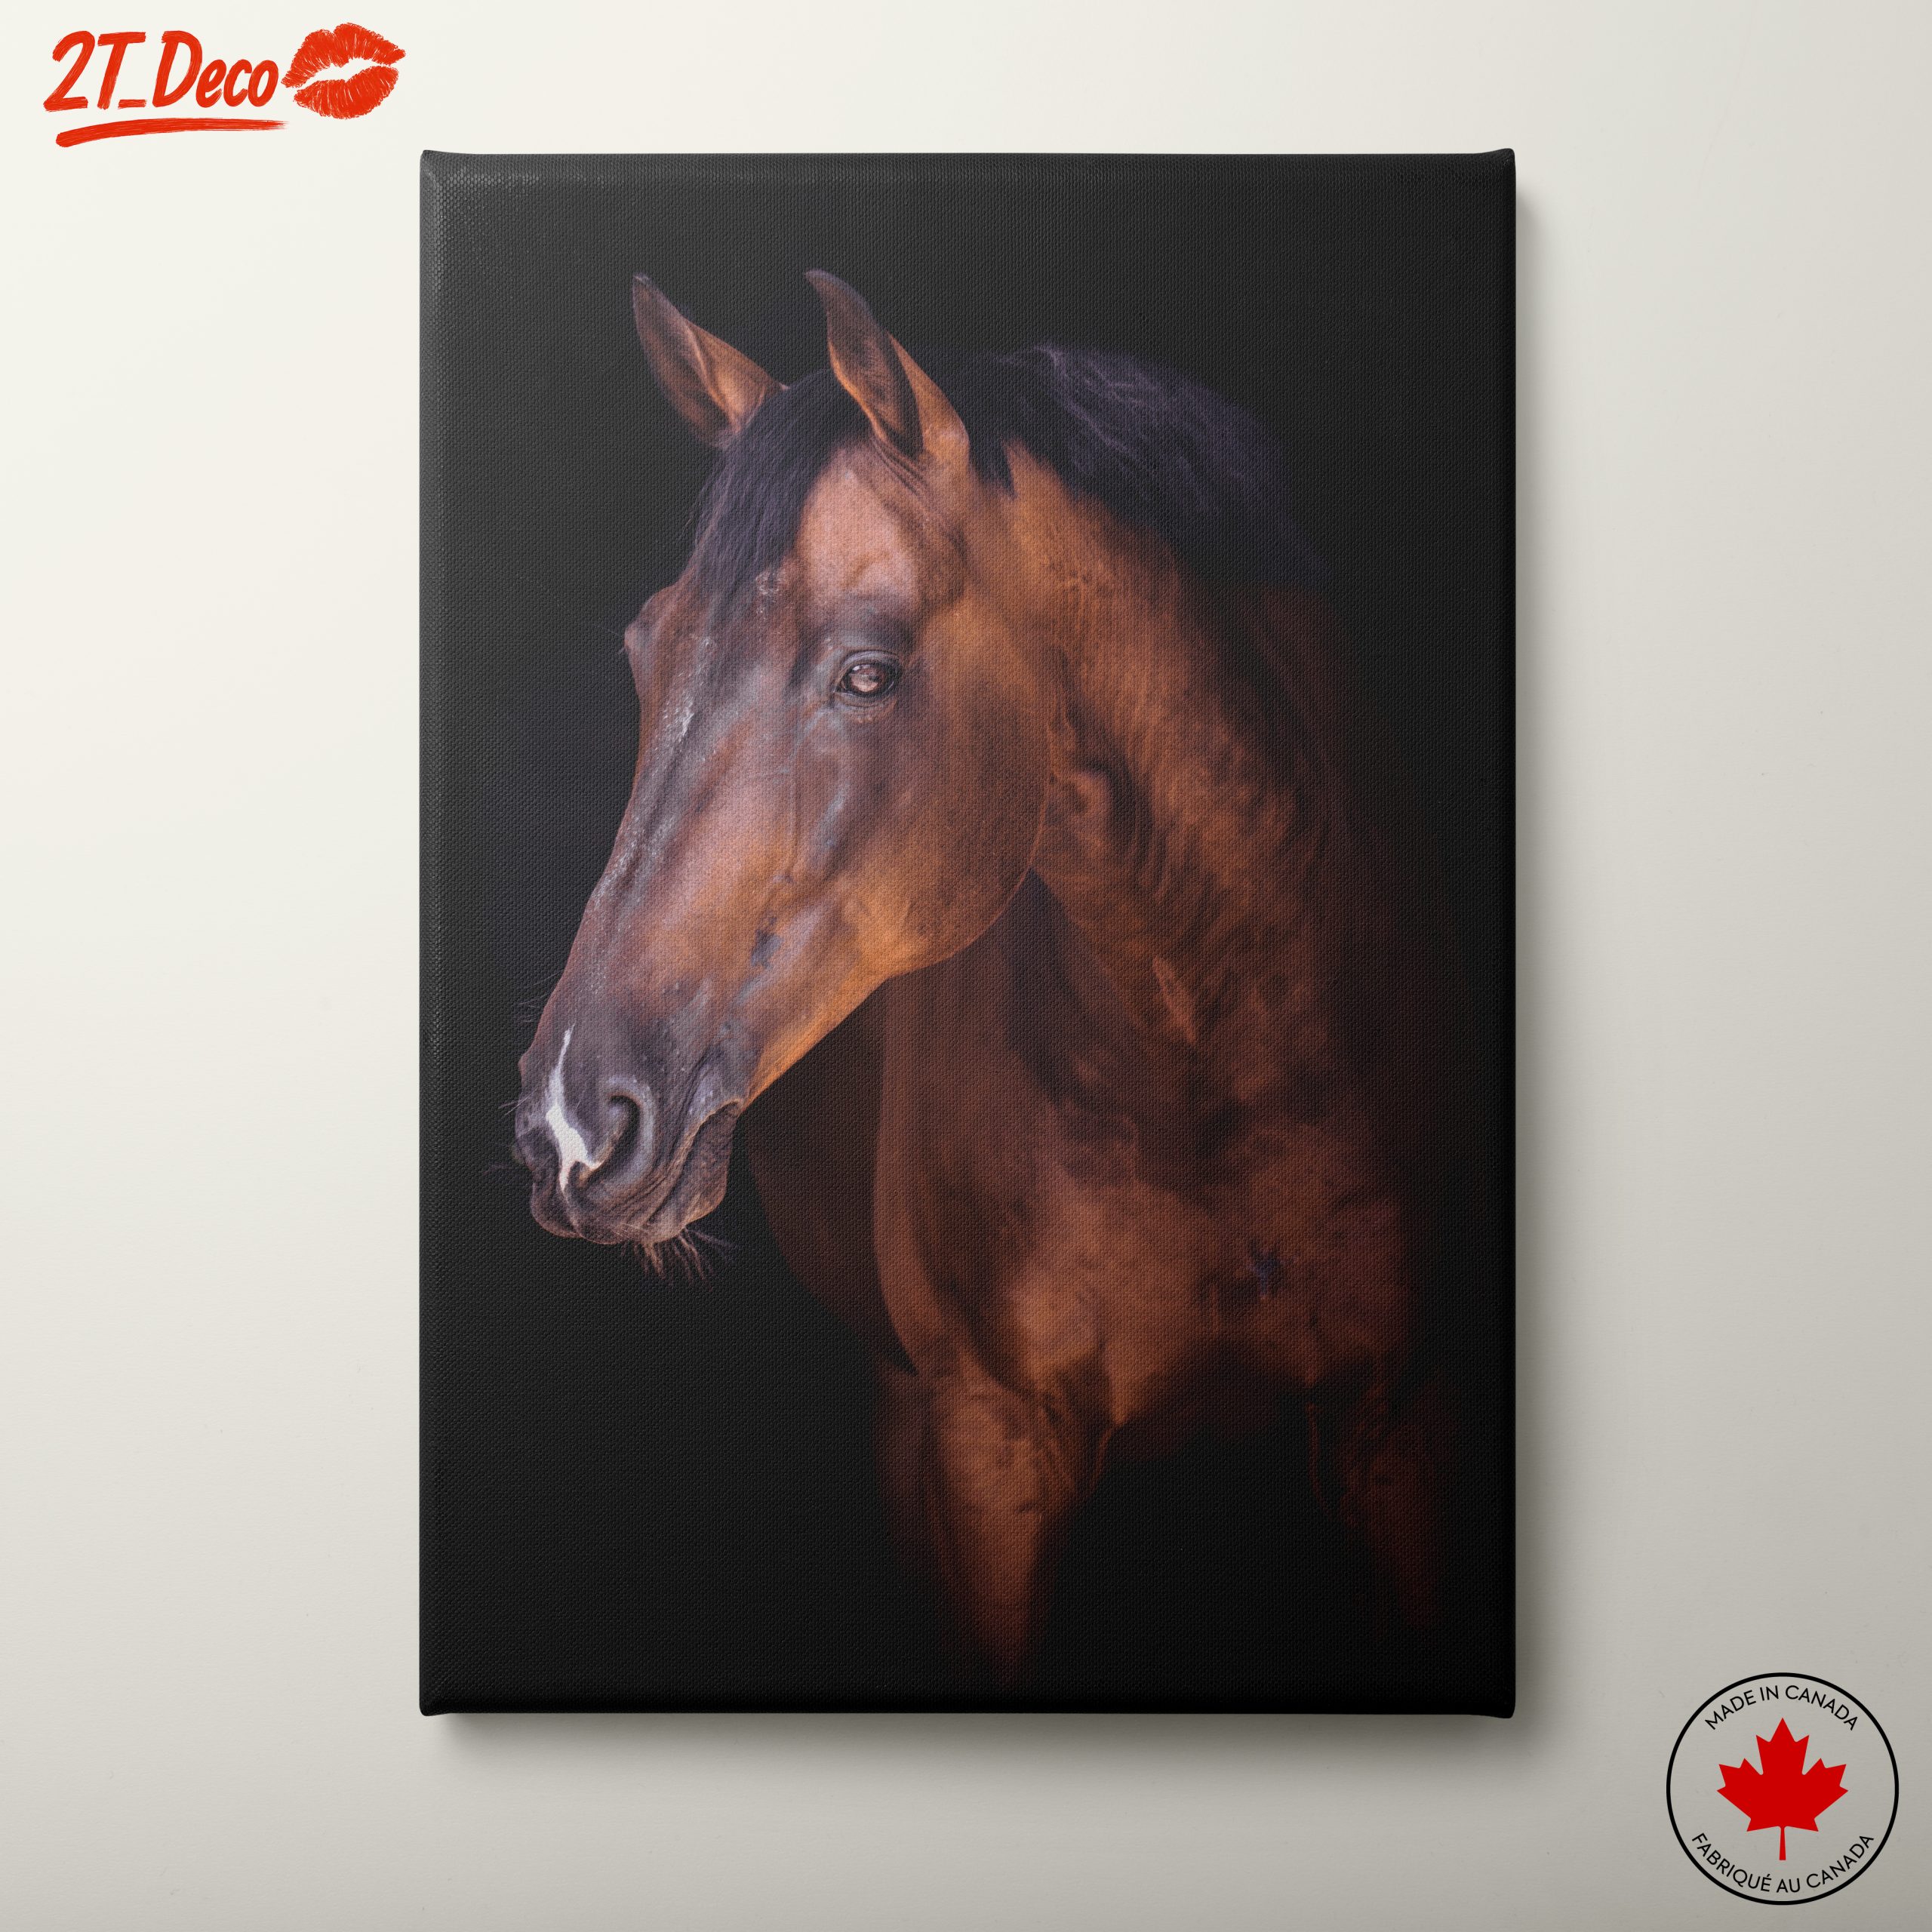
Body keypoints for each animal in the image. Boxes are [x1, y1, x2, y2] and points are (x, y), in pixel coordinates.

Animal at [512, 270, 1474, 1684]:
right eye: (647, 650)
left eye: (869, 671)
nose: (575, 1121)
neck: (1219, 1039)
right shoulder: (989, 1448)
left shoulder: (1395, 1421)